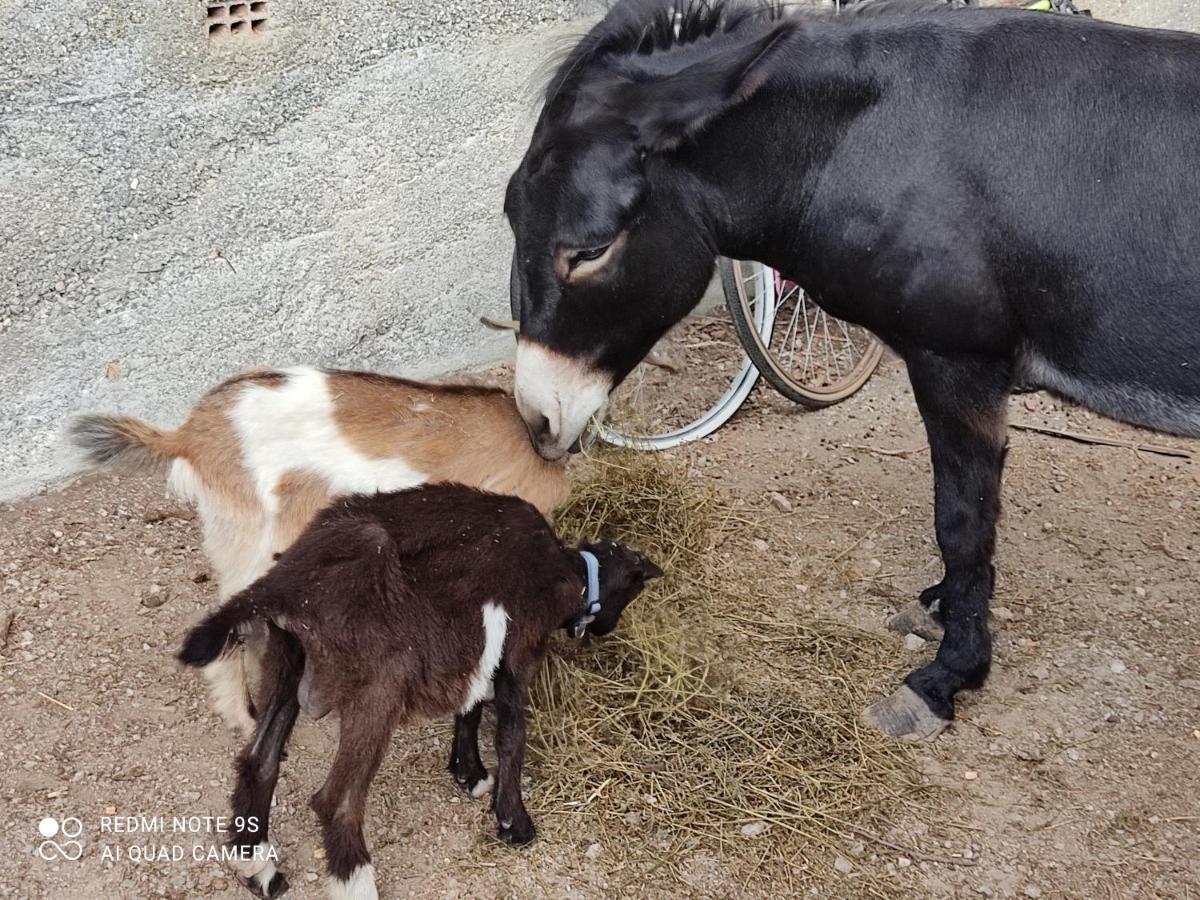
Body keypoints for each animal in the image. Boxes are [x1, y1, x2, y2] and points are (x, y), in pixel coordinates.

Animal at [181, 487, 662, 900]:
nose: (605, 631)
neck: (570, 570)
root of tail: (283, 586)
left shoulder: (483, 642)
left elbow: (472, 703)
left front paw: (469, 771)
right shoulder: (519, 645)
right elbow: (511, 730)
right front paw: (513, 820)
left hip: (285, 660)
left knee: (259, 761)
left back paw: (257, 866)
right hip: (379, 688)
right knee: (335, 800)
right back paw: (356, 881)